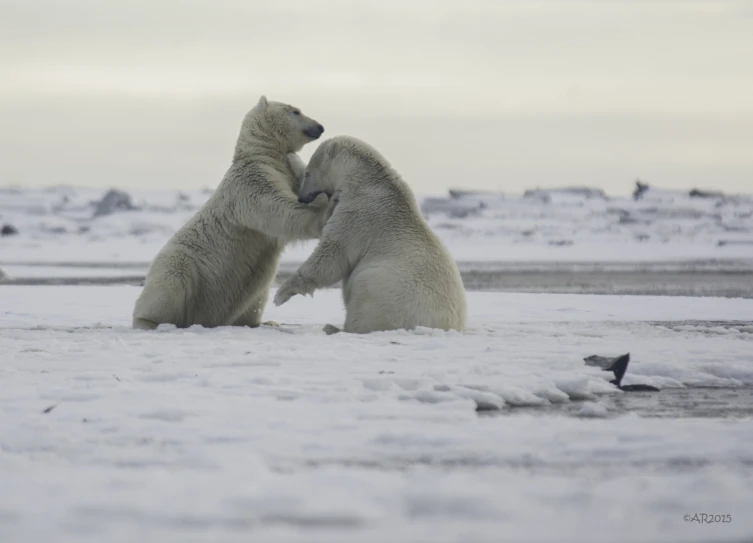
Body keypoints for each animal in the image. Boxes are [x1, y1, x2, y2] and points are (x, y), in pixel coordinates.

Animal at [131, 95, 328, 330]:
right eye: (295, 111)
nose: (320, 127)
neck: (261, 154)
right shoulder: (251, 180)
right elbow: (276, 207)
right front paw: (324, 215)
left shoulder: (287, 171)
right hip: (182, 262)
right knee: (169, 284)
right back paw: (148, 322)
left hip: (246, 293)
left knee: (256, 298)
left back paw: (264, 322)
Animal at [274, 134, 468, 334]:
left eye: (308, 173)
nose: (301, 198)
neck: (366, 179)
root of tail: (452, 326)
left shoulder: (358, 214)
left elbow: (333, 255)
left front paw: (281, 294)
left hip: (386, 287)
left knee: (364, 295)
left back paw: (334, 327)